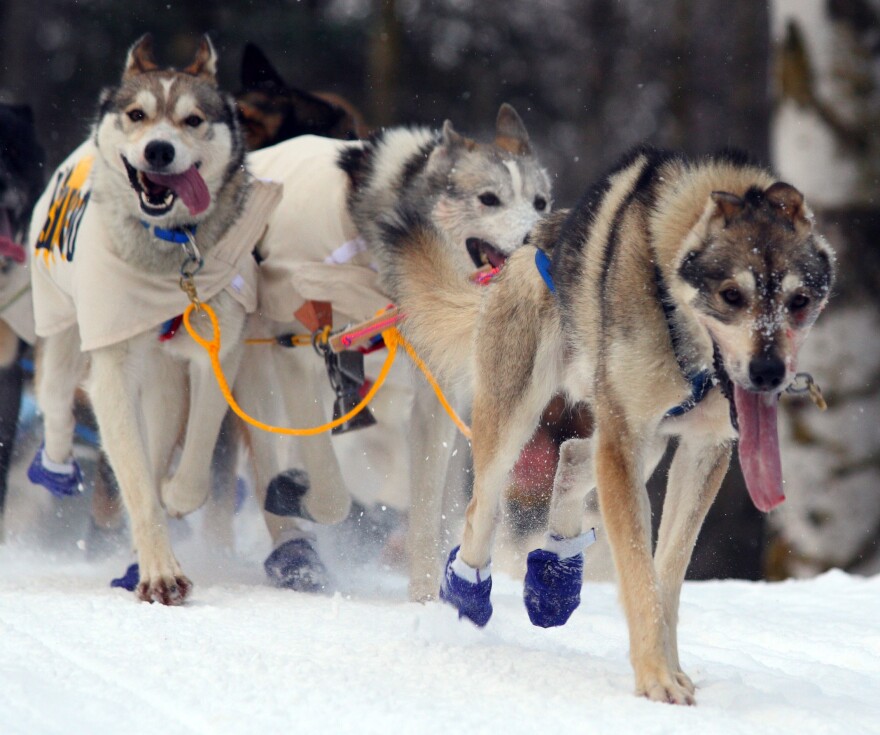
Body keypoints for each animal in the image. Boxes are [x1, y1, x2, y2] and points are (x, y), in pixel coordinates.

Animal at [30, 34, 278, 604]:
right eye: (138, 114)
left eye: (193, 120)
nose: (158, 150)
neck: (171, 250)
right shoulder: (112, 372)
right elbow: (136, 480)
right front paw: (160, 572)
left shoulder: (218, 350)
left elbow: (197, 452)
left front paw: (177, 496)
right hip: (60, 329)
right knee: (55, 398)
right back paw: (56, 464)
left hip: (165, 380)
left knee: (163, 435)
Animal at [241, 106, 552, 600]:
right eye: (488, 199)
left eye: (539, 202)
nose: (538, 236)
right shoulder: (298, 359)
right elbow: (331, 493)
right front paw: (293, 495)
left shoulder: (434, 400)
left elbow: (425, 516)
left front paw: (425, 600)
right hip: (256, 381)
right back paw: (289, 550)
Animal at [374, 147, 836, 704]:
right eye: (731, 295)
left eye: (799, 301)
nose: (769, 372)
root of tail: (525, 246)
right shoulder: (626, 439)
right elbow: (638, 573)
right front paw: (657, 677)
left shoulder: (703, 448)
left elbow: (666, 576)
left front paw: (670, 666)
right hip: (519, 421)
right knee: (481, 507)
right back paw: (467, 598)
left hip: (642, 442)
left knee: (573, 457)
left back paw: (554, 581)